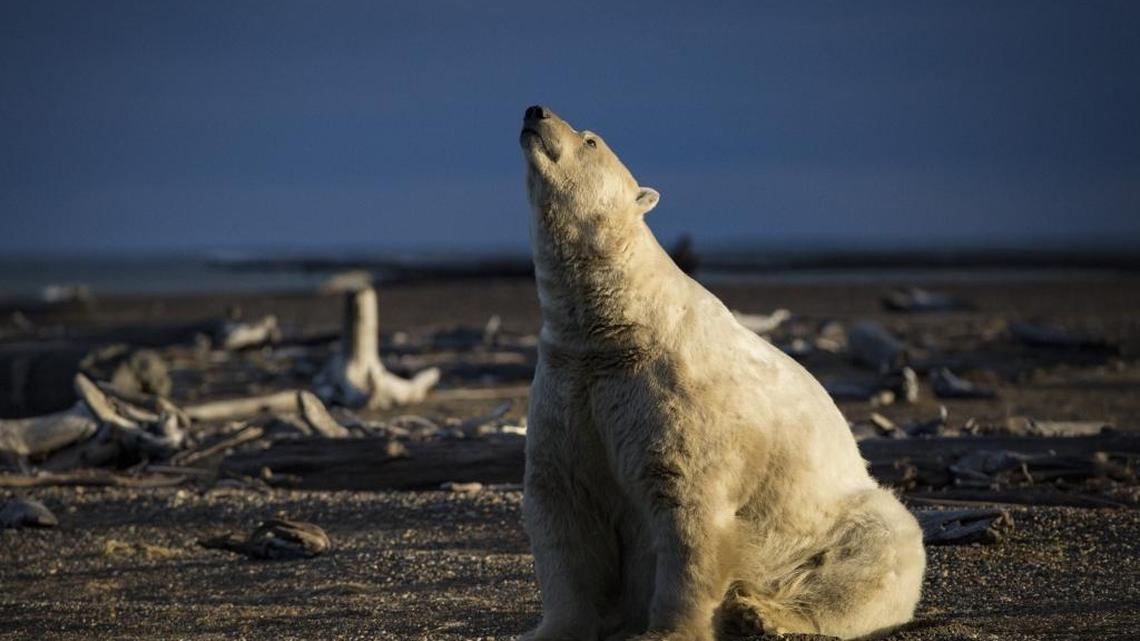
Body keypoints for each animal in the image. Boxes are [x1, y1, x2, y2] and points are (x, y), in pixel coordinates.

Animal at [517, 105, 925, 641]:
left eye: (590, 140)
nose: (536, 111)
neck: (616, 327)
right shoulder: (570, 383)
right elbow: (564, 506)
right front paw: (552, 628)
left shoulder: (673, 395)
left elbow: (688, 510)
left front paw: (668, 631)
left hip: (834, 523)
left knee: (872, 555)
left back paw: (761, 613)